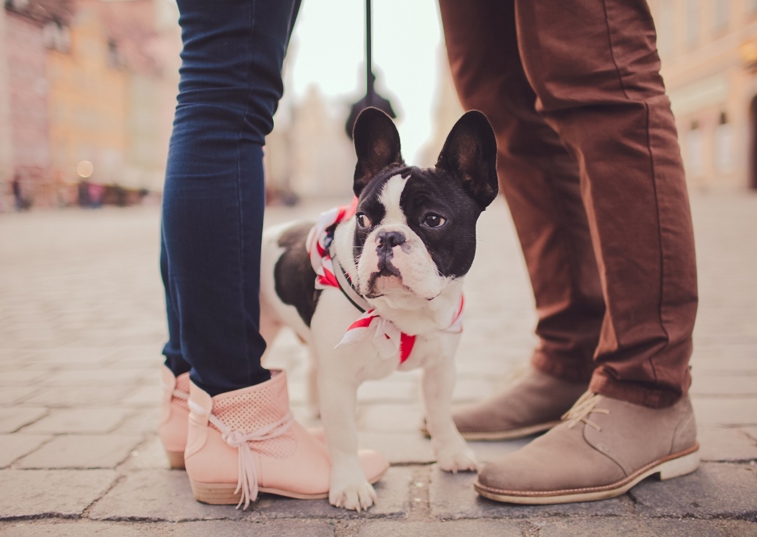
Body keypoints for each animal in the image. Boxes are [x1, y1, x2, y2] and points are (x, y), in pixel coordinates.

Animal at [258, 107, 496, 508]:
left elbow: (440, 412)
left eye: (434, 219)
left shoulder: (441, 367)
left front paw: (452, 452)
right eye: (363, 220)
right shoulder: (339, 381)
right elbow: (343, 436)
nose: (387, 237)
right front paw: (350, 485)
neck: (404, 312)